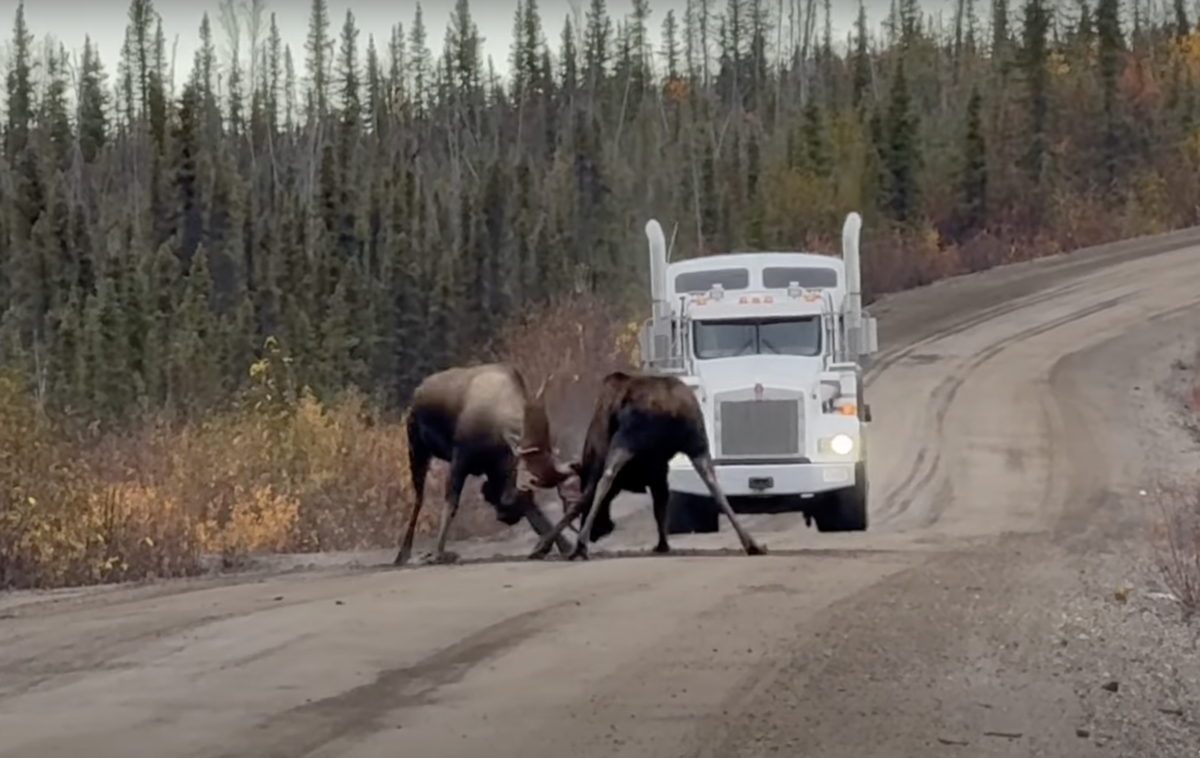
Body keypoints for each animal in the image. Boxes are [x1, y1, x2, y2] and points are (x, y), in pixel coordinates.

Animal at [396, 364, 578, 566]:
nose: (506, 516)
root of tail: (417, 391)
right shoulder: (460, 459)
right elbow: (450, 506)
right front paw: (438, 553)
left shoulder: (496, 468)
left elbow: (533, 511)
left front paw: (561, 546)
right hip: (417, 448)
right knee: (418, 498)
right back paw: (402, 554)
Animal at [528, 369, 768, 558]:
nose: (599, 530)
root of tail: (670, 408)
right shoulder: (658, 470)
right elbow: (660, 503)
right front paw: (663, 543)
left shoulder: (599, 460)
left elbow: (584, 498)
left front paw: (543, 546)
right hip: (697, 440)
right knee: (712, 480)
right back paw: (751, 543)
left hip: (626, 440)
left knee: (607, 476)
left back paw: (579, 545)